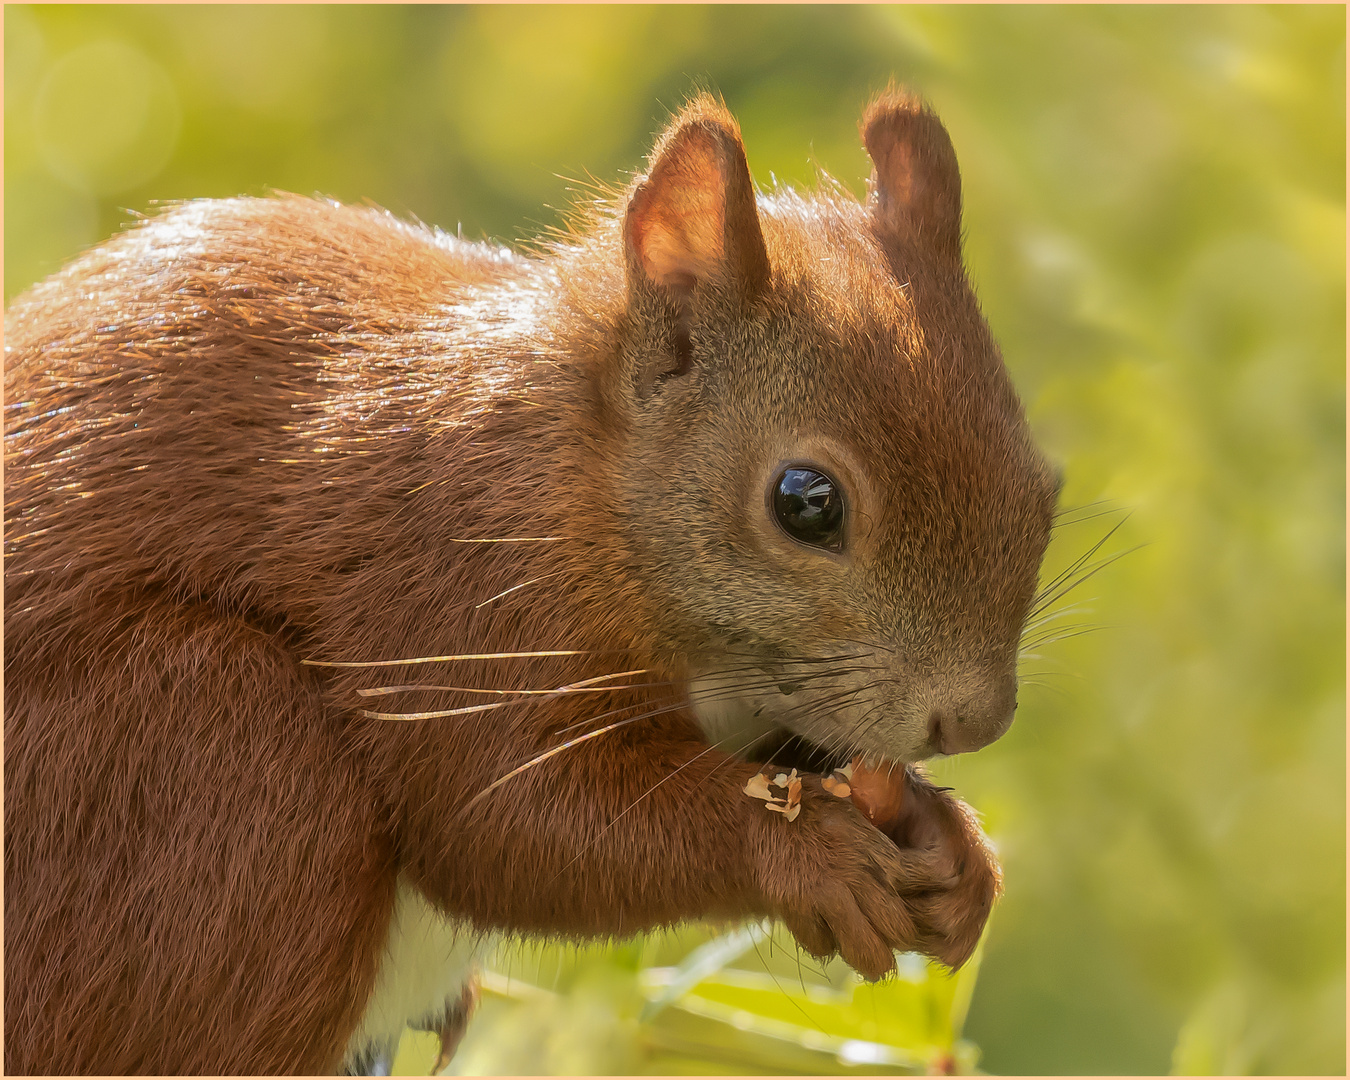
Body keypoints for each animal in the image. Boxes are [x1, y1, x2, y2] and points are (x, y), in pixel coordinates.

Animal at [5, 93, 1058, 1069]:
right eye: (807, 501)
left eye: (1045, 486)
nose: (975, 720)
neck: (577, 469)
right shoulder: (445, 593)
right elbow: (508, 824)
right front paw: (807, 855)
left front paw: (950, 844)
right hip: (207, 749)